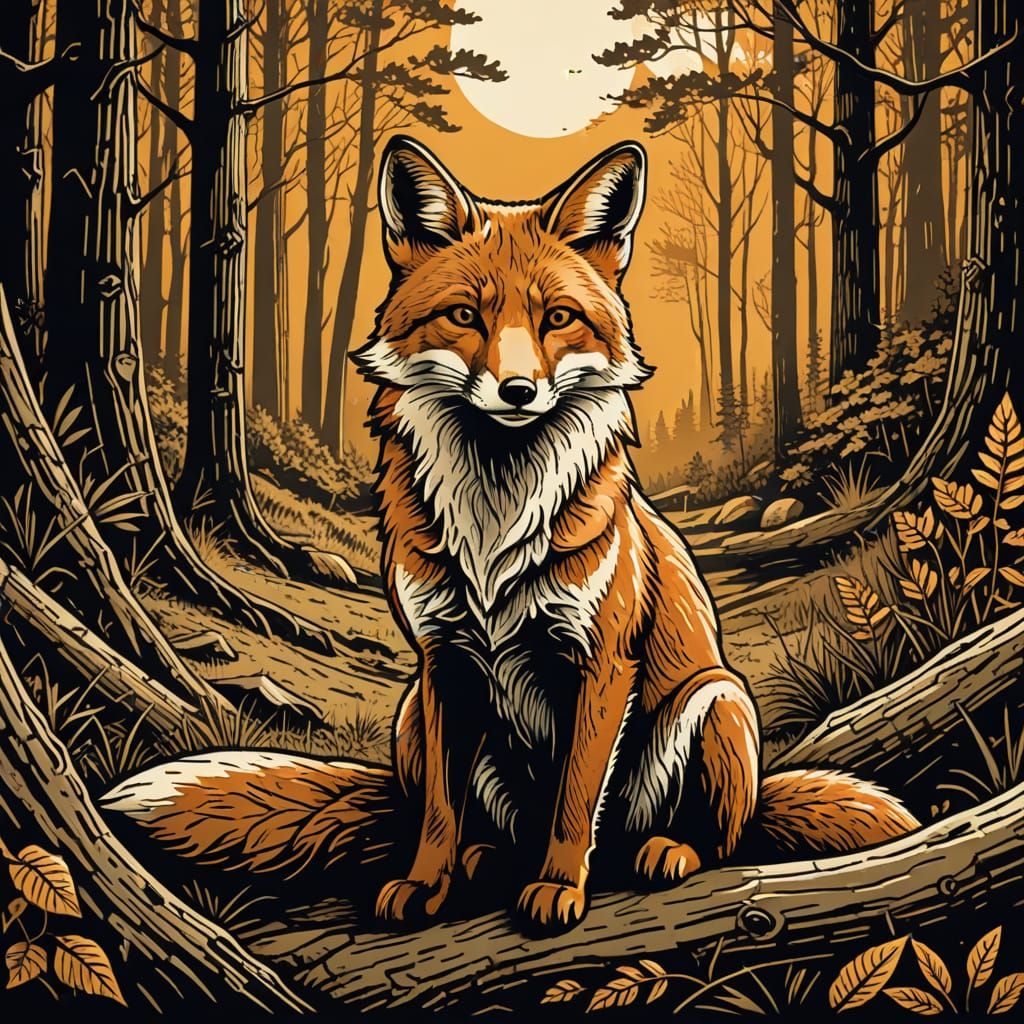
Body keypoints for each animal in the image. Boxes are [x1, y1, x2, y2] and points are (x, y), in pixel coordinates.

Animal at [103, 136, 919, 933]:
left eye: (557, 318)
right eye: (466, 316)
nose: (519, 391)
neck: (495, 520)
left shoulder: (602, 664)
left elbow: (574, 801)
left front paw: (556, 889)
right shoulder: (441, 661)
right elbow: (439, 809)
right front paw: (425, 884)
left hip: (717, 702)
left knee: (711, 835)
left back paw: (663, 852)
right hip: (412, 714)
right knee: (481, 824)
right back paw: (484, 862)